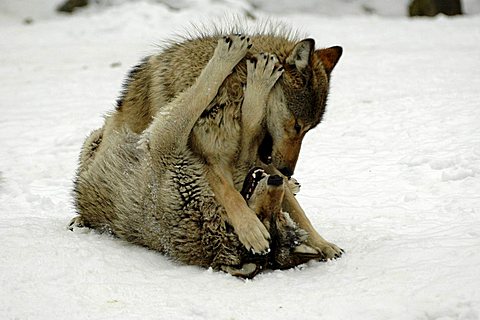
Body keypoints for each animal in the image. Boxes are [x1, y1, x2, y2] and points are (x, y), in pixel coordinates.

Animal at [72, 35, 322, 278]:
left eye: (278, 216)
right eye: (269, 215)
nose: (278, 180)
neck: (202, 213)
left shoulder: (168, 139)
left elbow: (207, 93)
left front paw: (243, 68)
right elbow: (213, 97)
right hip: (97, 137)